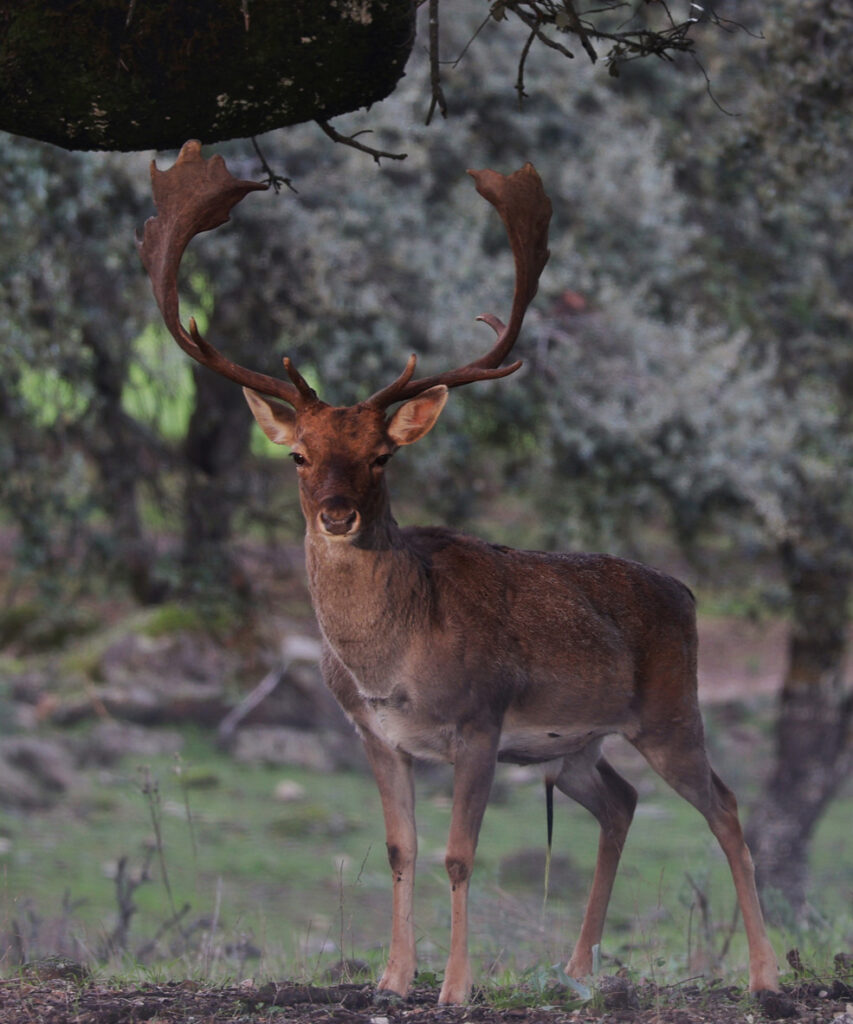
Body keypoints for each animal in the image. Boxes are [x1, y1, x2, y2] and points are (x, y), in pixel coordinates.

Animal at [135, 140, 778, 1003]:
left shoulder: (480, 719)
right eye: (299, 455)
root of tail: (686, 593)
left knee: (726, 806)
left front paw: (455, 986)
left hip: (671, 711)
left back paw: (764, 973)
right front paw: (390, 978)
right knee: (619, 801)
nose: (337, 515)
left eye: (381, 455)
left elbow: (459, 855)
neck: (389, 664)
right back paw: (577, 968)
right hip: (571, 745)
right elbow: (400, 850)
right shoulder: (375, 734)